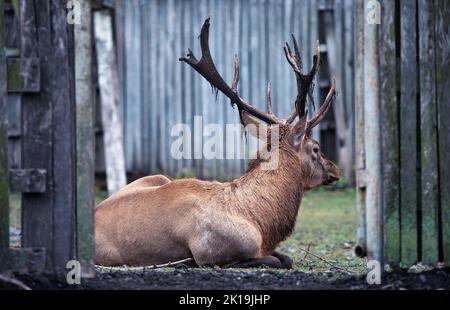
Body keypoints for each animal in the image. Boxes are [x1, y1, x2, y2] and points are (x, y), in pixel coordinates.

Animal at [95, 17, 338, 268]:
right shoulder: (211, 253)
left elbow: (284, 257)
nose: (334, 169)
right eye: (316, 148)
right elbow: (278, 260)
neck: (261, 224)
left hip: (156, 177)